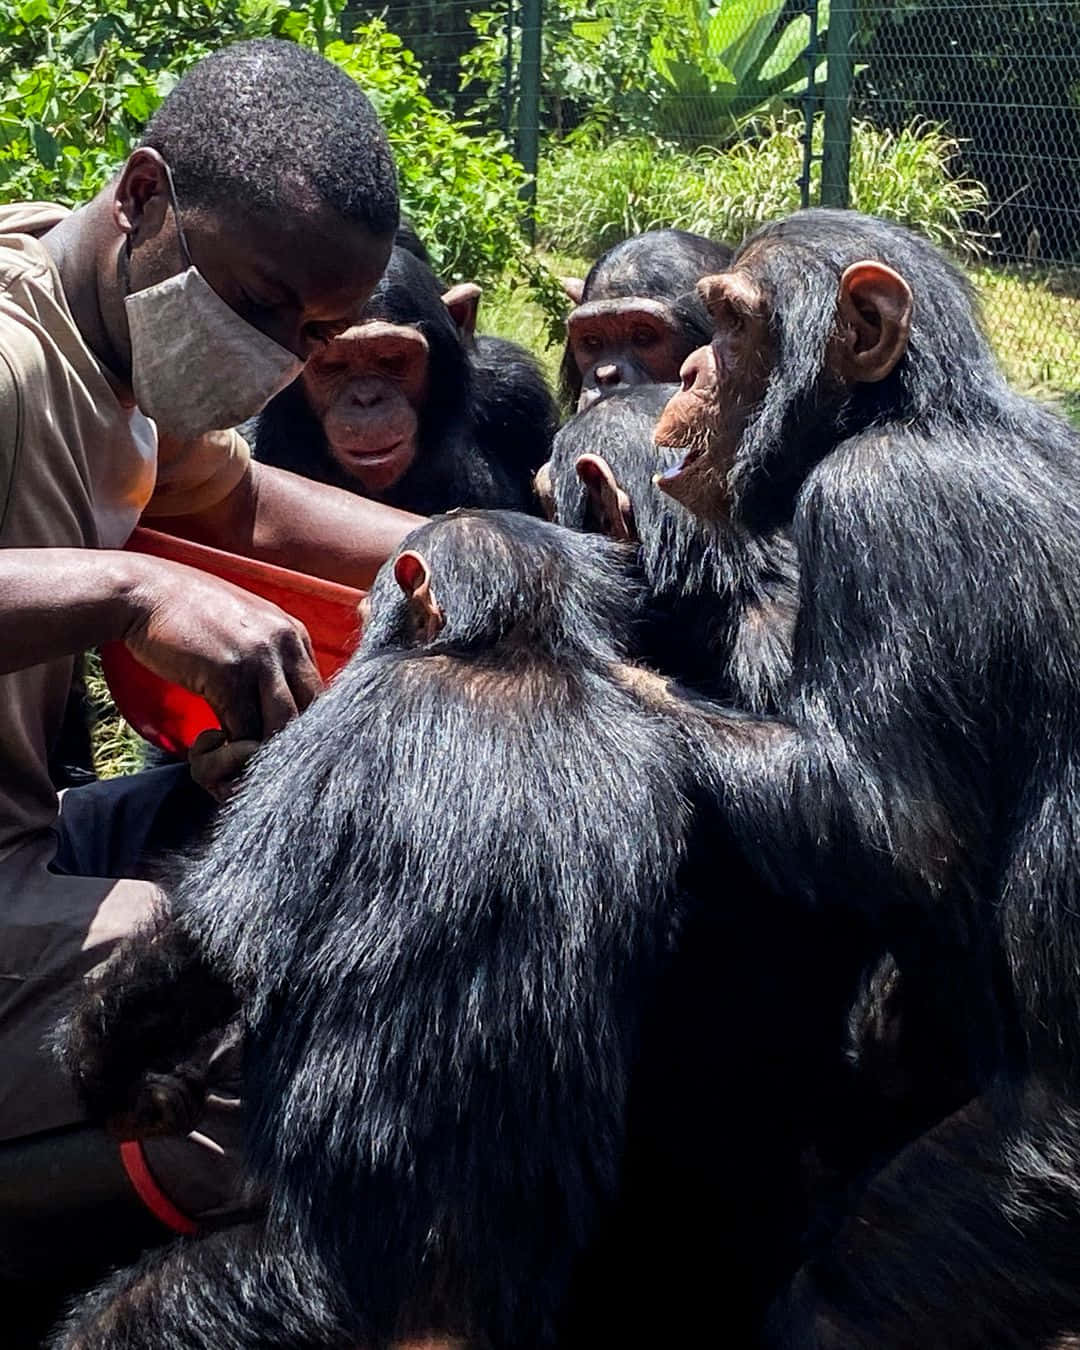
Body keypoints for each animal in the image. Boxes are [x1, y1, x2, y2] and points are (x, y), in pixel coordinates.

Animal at [52, 510, 837, 1344]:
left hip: (294, 1290)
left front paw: (106, 1077)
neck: (509, 653)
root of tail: (445, 1316)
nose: (366, 609)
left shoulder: (344, 725)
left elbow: (215, 946)